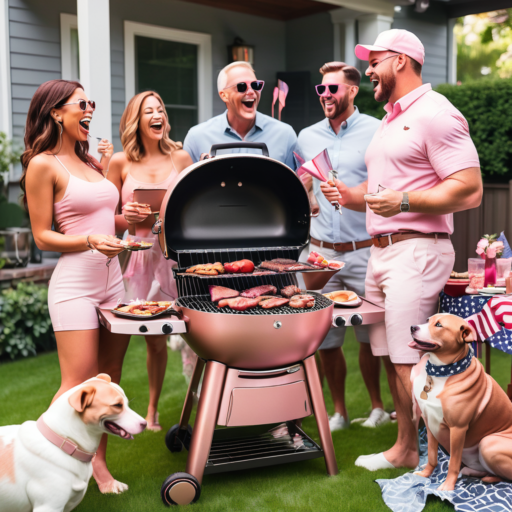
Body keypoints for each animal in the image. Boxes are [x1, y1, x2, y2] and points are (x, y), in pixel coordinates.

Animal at [410, 314, 512, 490]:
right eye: (428, 320)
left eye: (439, 325)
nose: (412, 327)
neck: (442, 372)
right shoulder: (430, 423)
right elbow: (431, 456)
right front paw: (425, 474)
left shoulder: (458, 429)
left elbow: (453, 462)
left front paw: (447, 486)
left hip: (487, 443)